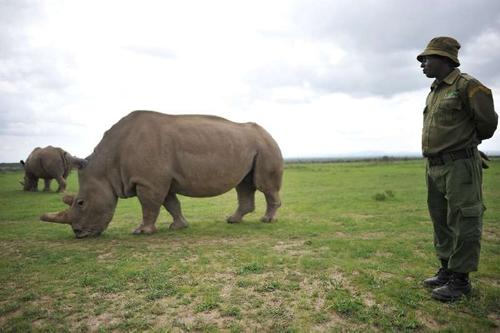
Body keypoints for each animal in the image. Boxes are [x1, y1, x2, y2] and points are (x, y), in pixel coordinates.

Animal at [41, 110, 284, 237]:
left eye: (81, 203)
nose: (78, 233)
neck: (107, 165)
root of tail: (268, 133)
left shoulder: (148, 182)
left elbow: (149, 205)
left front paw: (141, 231)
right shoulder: (158, 180)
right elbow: (170, 204)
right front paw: (178, 226)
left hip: (265, 146)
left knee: (263, 185)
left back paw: (267, 221)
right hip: (253, 146)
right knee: (244, 184)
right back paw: (233, 221)